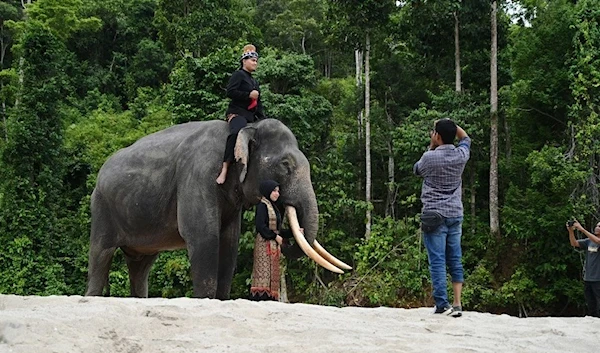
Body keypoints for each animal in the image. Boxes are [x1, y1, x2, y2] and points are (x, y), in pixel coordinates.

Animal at [86, 117, 354, 296]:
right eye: (285, 165)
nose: (285, 236)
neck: (243, 130)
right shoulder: (199, 175)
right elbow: (204, 236)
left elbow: (229, 243)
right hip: (101, 208)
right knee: (101, 254)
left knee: (141, 265)